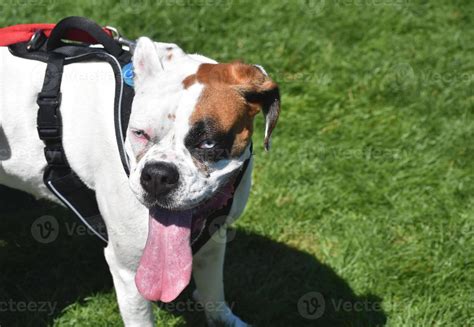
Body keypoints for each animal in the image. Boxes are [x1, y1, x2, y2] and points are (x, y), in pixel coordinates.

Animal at [0, 37, 280, 326]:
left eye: (208, 143)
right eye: (140, 133)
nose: (157, 175)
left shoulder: (214, 242)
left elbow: (214, 295)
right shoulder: (128, 269)